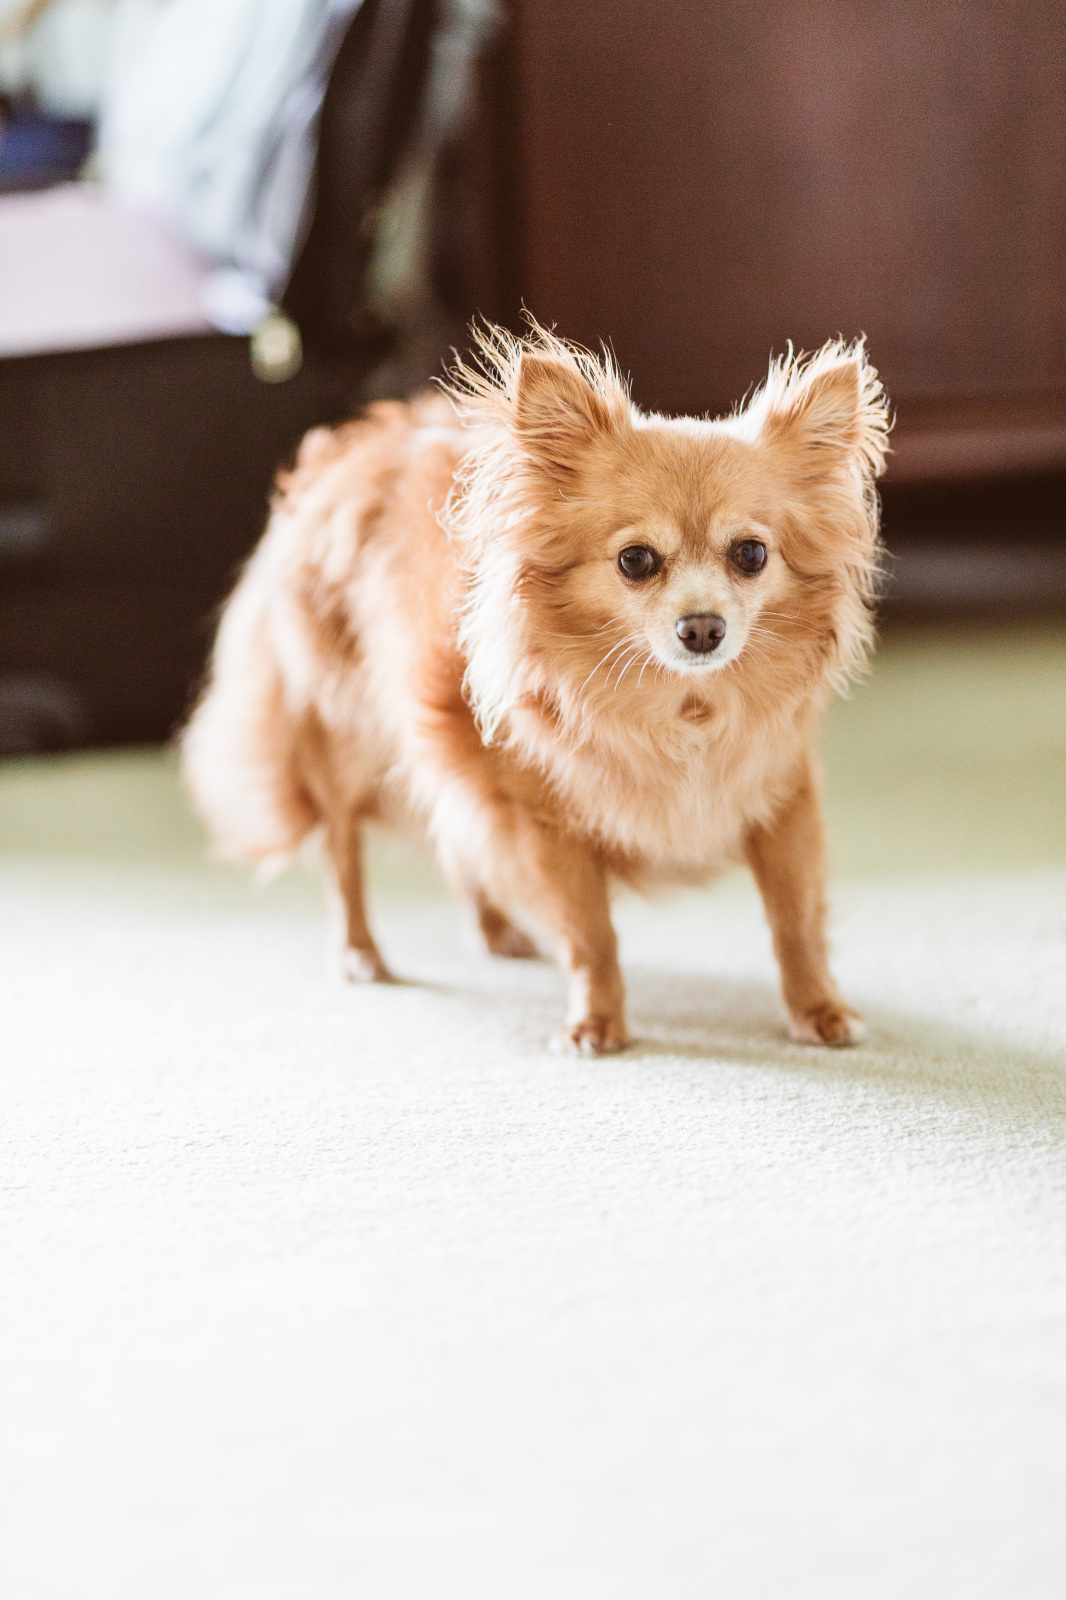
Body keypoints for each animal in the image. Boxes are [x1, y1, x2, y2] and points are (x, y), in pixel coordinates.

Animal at [182, 321, 889, 1054]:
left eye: (751, 554)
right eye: (636, 561)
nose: (703, 627)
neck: (681, 708)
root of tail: (354, 443)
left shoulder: (784, 797)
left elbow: (795, 917)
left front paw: (817, 1008)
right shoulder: (547, 823)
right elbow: (590, 934)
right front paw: (597, 1022)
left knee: (456, 835)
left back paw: (492, 928)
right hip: (346, 741)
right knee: (342, 849)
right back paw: (359, 951)